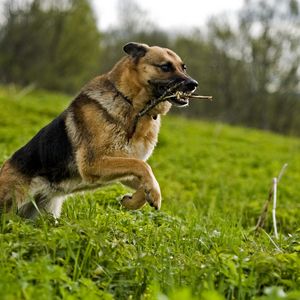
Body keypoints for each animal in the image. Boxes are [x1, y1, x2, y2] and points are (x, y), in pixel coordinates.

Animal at [0, 42, 198, 218]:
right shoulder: (94, 163)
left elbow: (144, 176)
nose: (193, 84)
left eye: (184, 68)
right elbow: (143, 166)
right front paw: (153, 195)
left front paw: (136, 200)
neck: (132, 106)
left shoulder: (121, 164)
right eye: (165, 67)